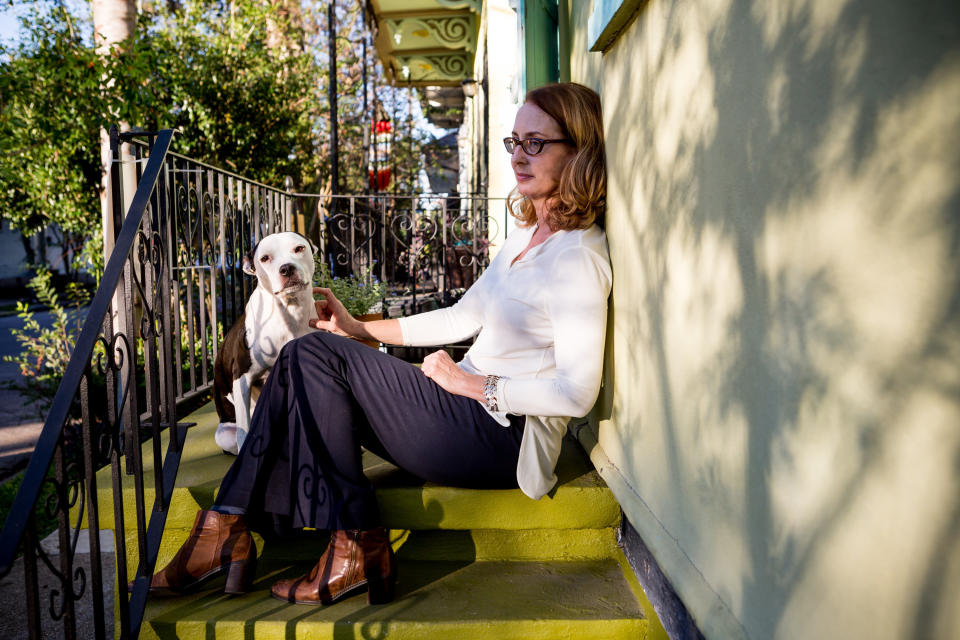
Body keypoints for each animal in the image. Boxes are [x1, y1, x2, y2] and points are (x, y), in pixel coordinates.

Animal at [213, 232, 318, 452]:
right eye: (264, 258)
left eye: (299, 248)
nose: (286, 268)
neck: (289, 312)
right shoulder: (242, 377)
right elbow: (244, 430)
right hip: (225, 435)